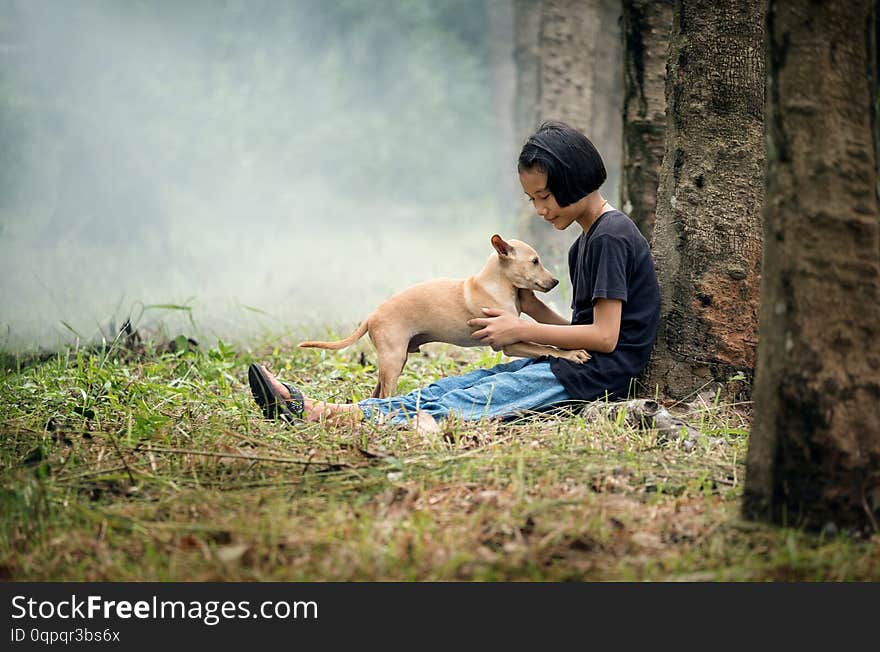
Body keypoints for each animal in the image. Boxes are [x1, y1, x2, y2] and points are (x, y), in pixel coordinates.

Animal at [298, 234, 592, 398]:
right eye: (534, 261)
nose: (555, 282)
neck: (495, 285)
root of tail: (371, 315)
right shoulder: (510, 343)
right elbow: (546, 346)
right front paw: (572, 353)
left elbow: (546, 341)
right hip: (393, 359)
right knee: (385, 393)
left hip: (395, 359)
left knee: (377, 392)